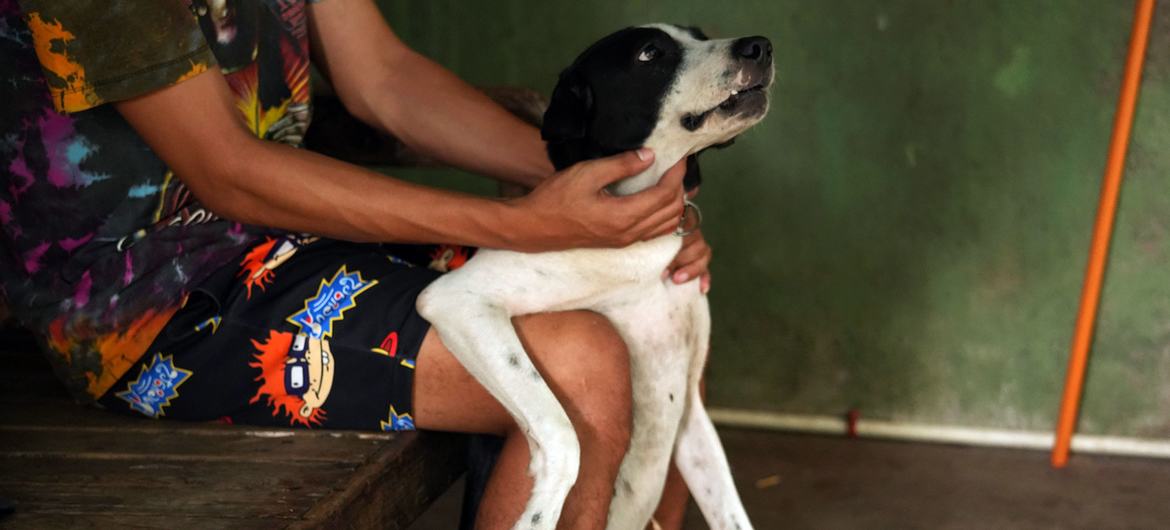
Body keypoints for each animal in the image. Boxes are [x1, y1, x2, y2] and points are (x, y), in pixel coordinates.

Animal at [416, 23, 772, 528]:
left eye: (700, 34)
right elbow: (564, 436)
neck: (642, 250)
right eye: (649, 54)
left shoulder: (691, 410)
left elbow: (729, 507)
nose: (760, 46)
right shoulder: (455, 298)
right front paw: (539, 509)